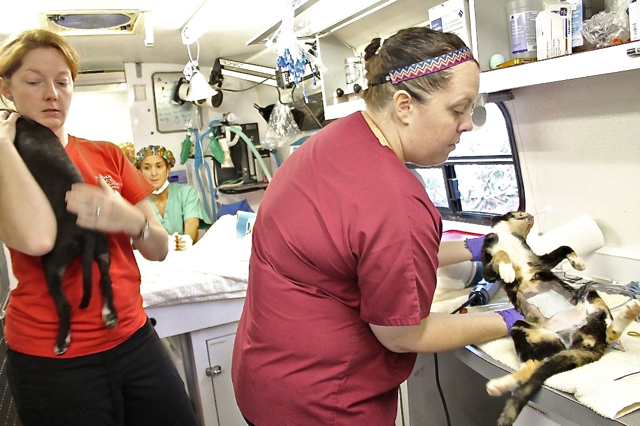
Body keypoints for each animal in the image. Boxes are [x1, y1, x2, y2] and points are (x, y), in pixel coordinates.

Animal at [11, 114, 116, 356]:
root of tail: (86, 231)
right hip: (103, 251)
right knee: (105, 279)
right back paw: (109, 314)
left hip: (53, 265)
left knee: (65, 305)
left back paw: (62, 342)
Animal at [480, 212, 640, 426]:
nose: (530, 214)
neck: (509, 234)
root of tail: (583, 340)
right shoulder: (487, 269)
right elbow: (501, 254)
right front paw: (508, 273)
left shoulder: (539, 260)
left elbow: (565, 246)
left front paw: (579, 264)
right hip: (522, 326)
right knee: (533, 366)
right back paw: (499, 385)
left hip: (588, 292)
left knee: (608, 330)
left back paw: (629, 313)